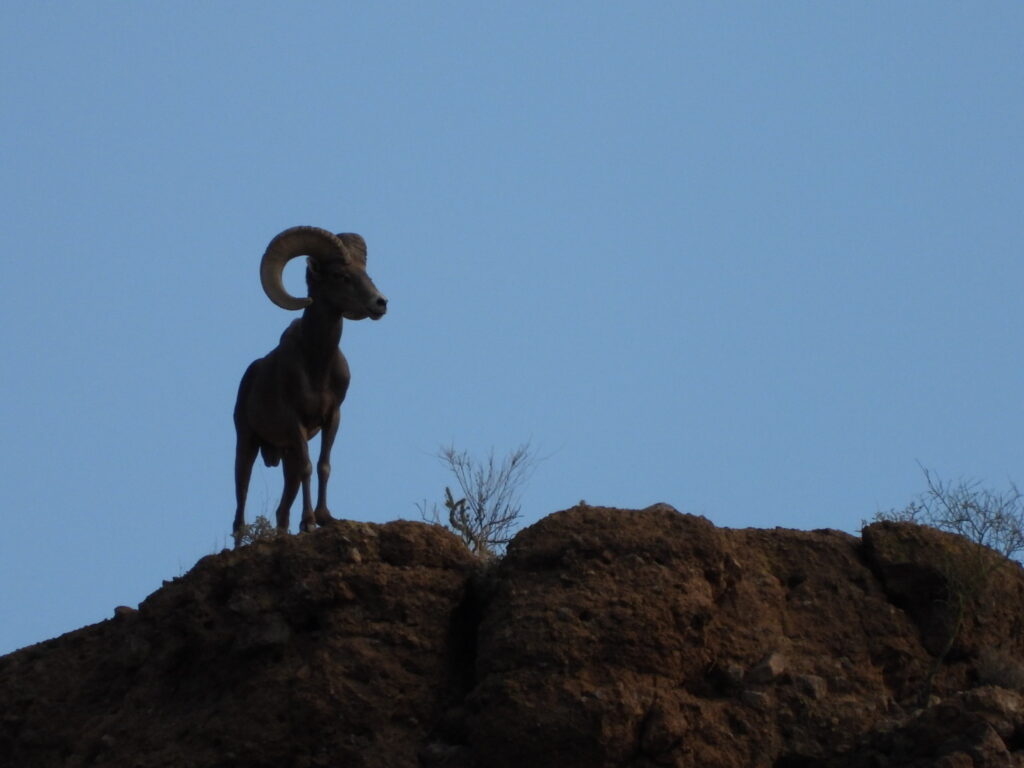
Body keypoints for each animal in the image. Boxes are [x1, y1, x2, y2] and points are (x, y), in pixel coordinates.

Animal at [233, 226, 387, 543]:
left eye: (366, 273)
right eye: (341, 275)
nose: (381, 303)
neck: (317, 366)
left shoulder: (332, 418)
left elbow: (323, 465)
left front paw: (325, 517)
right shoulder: (296, 422)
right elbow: (308, 468)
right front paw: (309, 522)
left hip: (285, 455)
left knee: (282, 510)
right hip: (246, 443)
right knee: (240, 505)